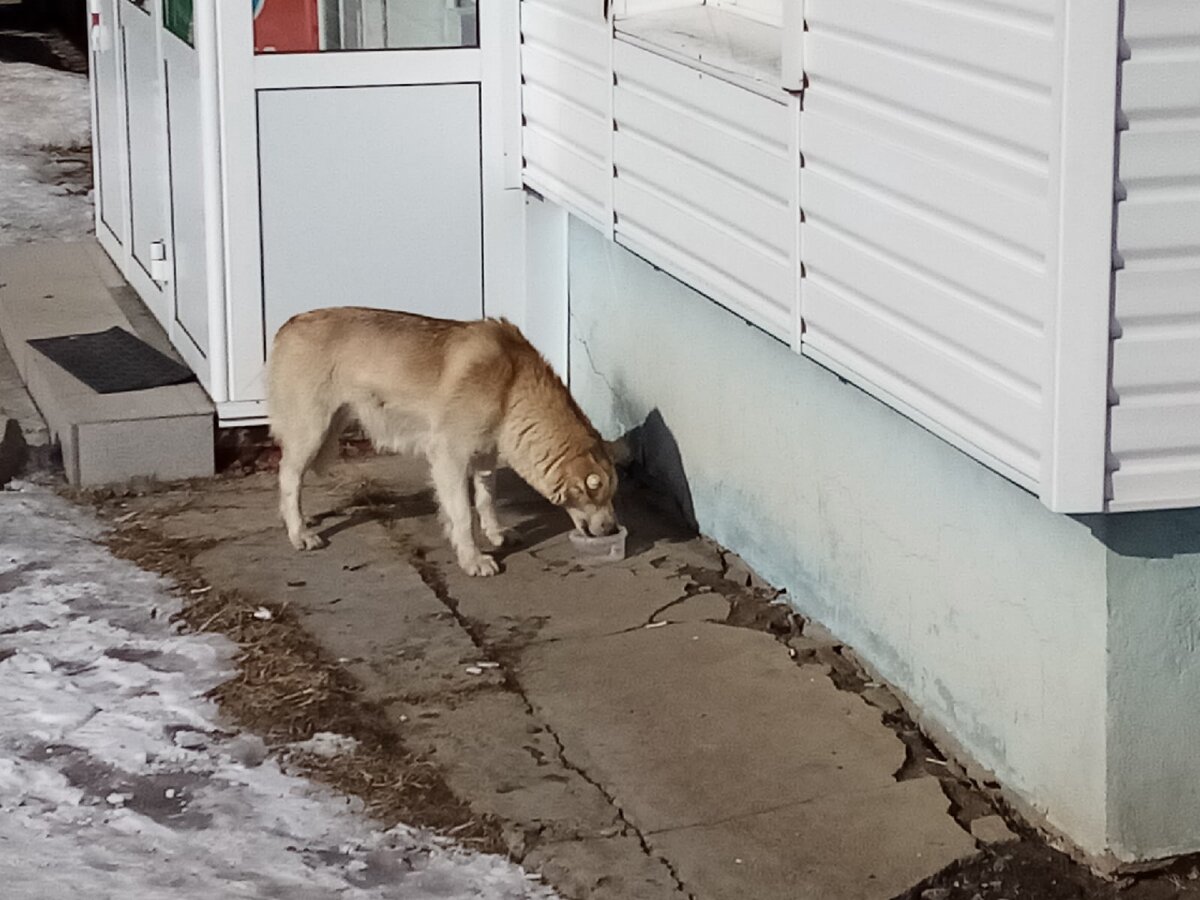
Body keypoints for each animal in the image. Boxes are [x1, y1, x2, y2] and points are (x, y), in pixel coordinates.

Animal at [268, 309, 624, 578]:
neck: (511, 384)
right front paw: (473, 558)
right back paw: (298, 531)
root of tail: (289, 325)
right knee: (289, 478)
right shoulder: (449, 459)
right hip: (311, 431)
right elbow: (463, 515)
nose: (611, 529)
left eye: (611, 496)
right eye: (599, 495)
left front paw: (496, 533)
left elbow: (486, 500)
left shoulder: (485, 455)